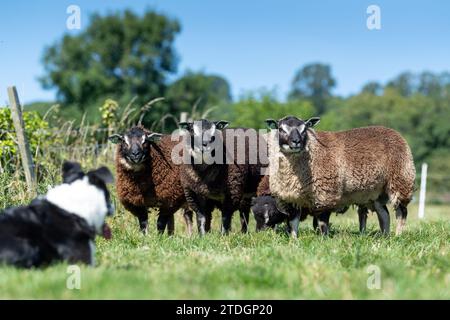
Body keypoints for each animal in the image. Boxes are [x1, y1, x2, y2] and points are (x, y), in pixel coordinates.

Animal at [264, 116, 414, 236]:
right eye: (281, 129)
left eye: (304, 129)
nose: (296, 141)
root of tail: (395, 133)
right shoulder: (291, 198)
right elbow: (293, 223)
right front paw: (294, 241)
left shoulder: (325, 195)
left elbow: (322, 223)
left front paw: (324, 240)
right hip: (375, 193)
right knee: (384, 214)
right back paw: (385, 237)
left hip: (401, 181)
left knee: (401, 212)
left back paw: (398, 236)